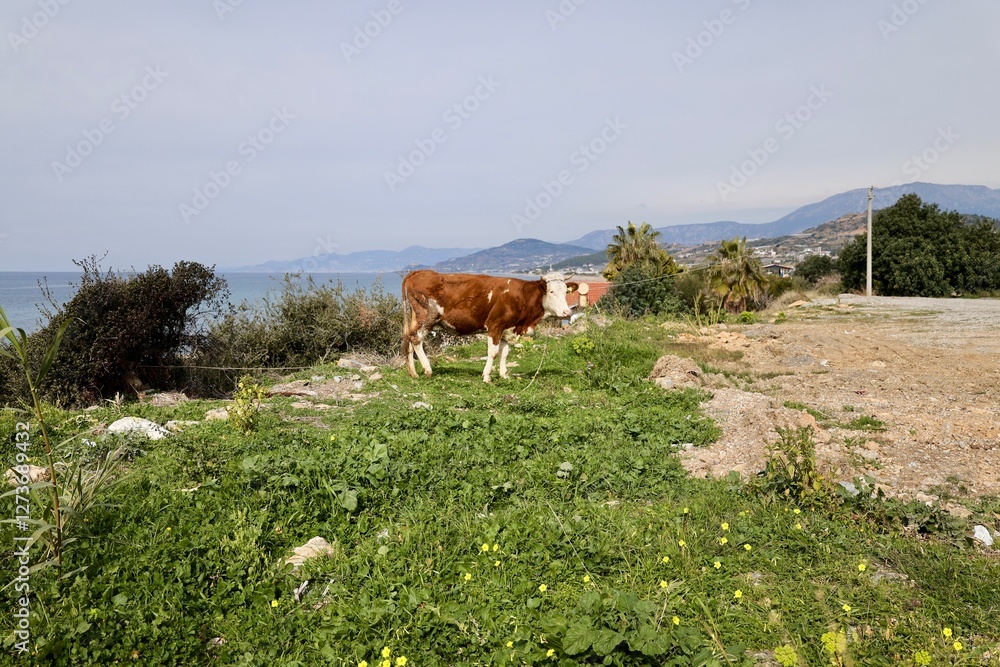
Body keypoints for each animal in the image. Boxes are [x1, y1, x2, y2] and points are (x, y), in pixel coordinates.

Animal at [401, 270, 578, 382]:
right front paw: (487, 376)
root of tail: (419, 272)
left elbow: (505, 352)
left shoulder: (506, 329)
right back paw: (427, 370)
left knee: (408, 338)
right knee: (416, 339)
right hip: (427, 317)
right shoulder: (495, 326)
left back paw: (413, 373)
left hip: (416, 317)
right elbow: (493, 353)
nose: (566, 312)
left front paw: (503, 374)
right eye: (551, 292)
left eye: (565, 291)